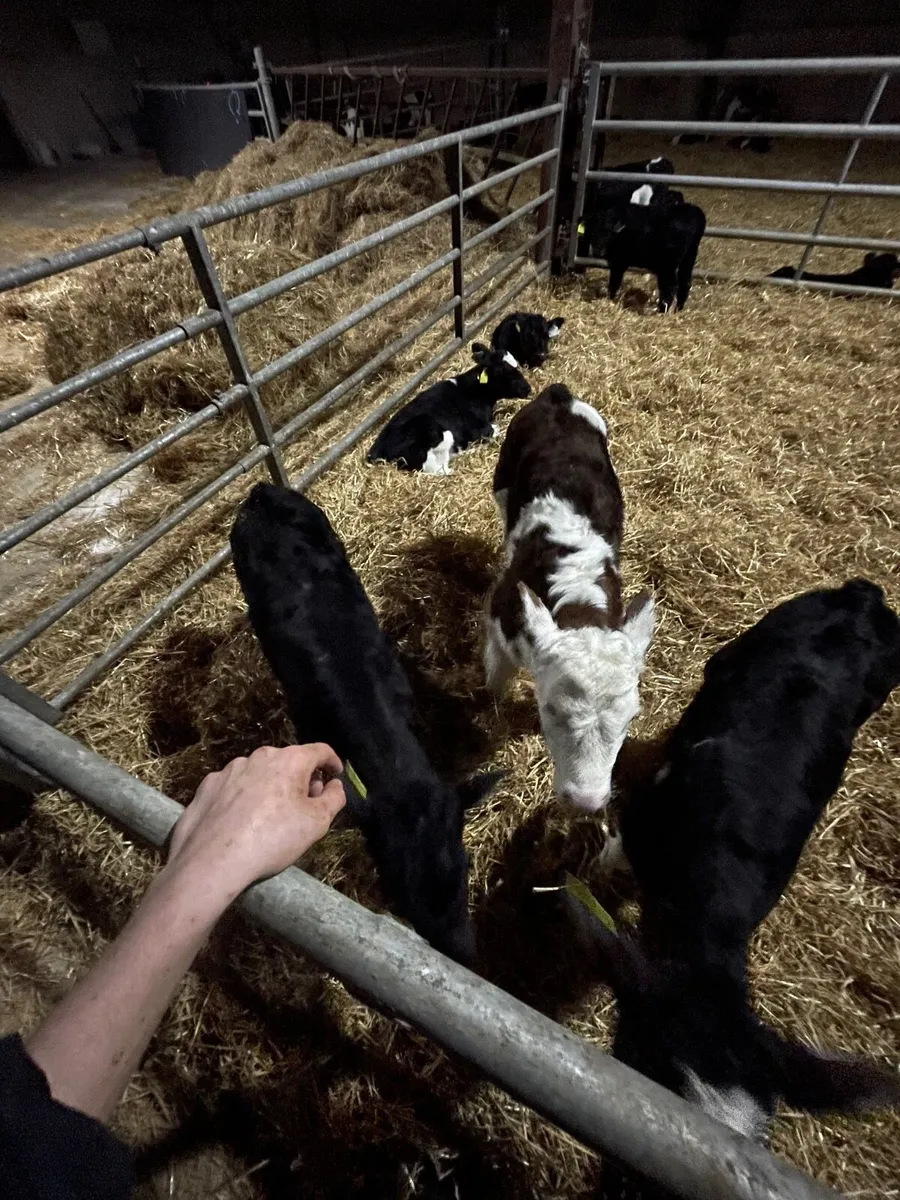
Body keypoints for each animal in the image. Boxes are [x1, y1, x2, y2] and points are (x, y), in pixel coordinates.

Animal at [367, 345, 530, 474]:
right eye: (503, 371)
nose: (527, 388)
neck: (471, 392)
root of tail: (374, 451)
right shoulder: (479, 429)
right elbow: (496, 430)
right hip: (435, 433)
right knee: (440, 469)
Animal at [484, 384, 655, 812]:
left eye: (631, 719)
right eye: (550, 709)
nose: (586, 800)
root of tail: (557, 395)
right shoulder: (499, 622)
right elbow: (494, 682)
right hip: (502, 482)